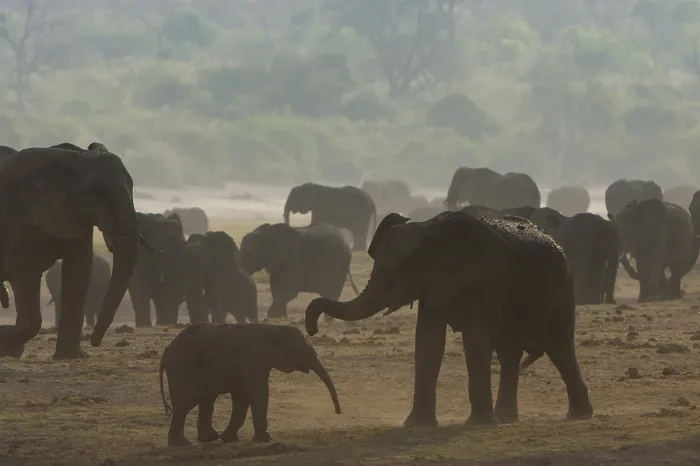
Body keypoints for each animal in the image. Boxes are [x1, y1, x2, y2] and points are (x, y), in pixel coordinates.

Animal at [0, 145, 147, 359]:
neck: (74, 159)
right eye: (97, 194)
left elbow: (79, 270)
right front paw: (5, 342)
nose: (95, 342)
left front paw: (71, 356)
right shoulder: (17, 216)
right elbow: (24, 273)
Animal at [159, 322, 341, 447]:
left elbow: (242, 398)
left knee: (206, 400)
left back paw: (209, 438)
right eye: (303, 351)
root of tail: (166, 353)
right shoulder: (252, 362)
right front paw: (266, 440)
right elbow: (258, 394)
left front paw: (230, 439)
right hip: (182, 369)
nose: (338, 412)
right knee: (185, 405)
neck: (270, 329)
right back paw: (182, 445)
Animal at [305, 211, 593, 427]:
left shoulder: (483, 278)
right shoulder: (434, 286)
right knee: (510, 351)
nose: (312, 329)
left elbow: (474, 340)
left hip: (563, 288)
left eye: (404, 269)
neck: (430, 230)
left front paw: (477, 423)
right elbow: (428, 340)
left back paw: (577, 415)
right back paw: (506, 417)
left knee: (558, 347)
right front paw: (416, 425)